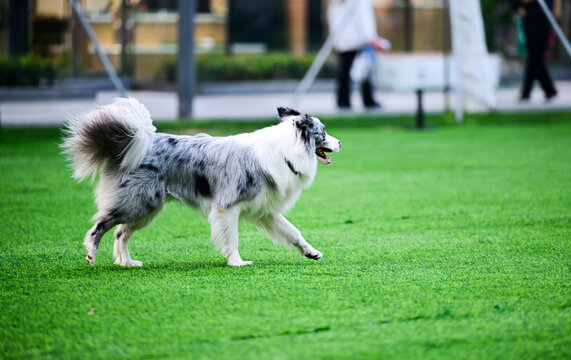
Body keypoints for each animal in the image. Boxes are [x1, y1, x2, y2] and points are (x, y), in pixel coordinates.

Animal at [62, 97, 340, 266]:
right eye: (323, 132)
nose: (340, 142)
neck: (285, 151)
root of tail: (135, 142)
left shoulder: (265, 211)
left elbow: (293, 232)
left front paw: (311, 252)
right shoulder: (227, 207)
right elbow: (232, 238)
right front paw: (237, 262)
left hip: (146, 208)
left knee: (120, 233)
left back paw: (128, 263)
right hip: (137, 204)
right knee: (101, 225)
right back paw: (91, 253)